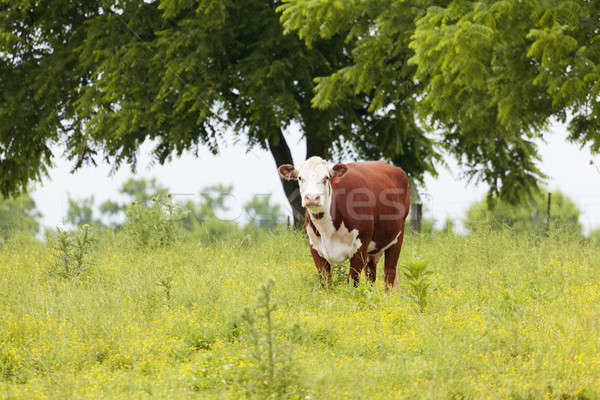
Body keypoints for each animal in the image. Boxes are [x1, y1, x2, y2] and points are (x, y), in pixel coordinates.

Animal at [278, 156, 410, 288]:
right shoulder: (315, 248)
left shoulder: (360, 248)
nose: (312, 197)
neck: (327, 230)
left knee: (389, 273)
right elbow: (326, 282)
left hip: (397, 239)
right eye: (300, 178)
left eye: (326, 177)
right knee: (371, 274)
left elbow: (352, 282)